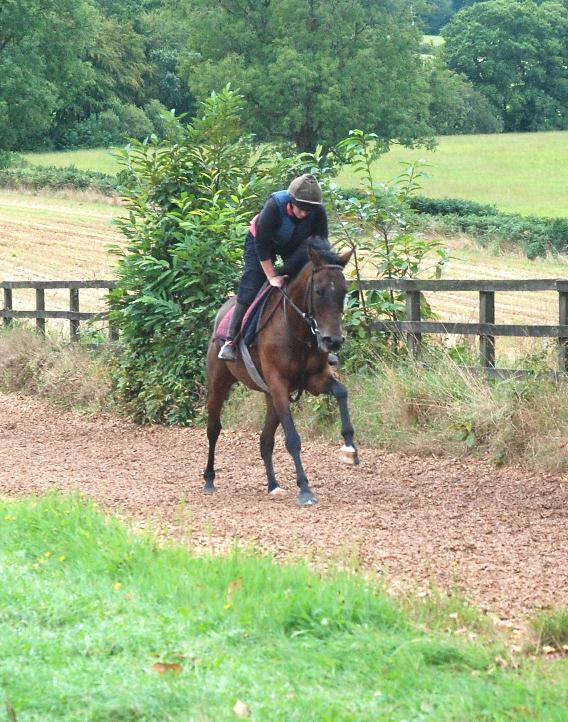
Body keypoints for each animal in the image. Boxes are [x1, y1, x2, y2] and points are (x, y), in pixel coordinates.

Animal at [202, 239, 358, 504]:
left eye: (344, 292)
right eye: (319, 291)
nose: (333, 341)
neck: (298, 330)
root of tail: (223, 312)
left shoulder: (314, 380)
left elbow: (341, 392)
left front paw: (349, 448)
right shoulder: (279, 385)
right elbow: (293, 439)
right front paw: (305, 489)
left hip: (269, 397)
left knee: (265, 440)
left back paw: (273, 485)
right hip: (219, 382)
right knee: (214, 428)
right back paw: (209, 479)